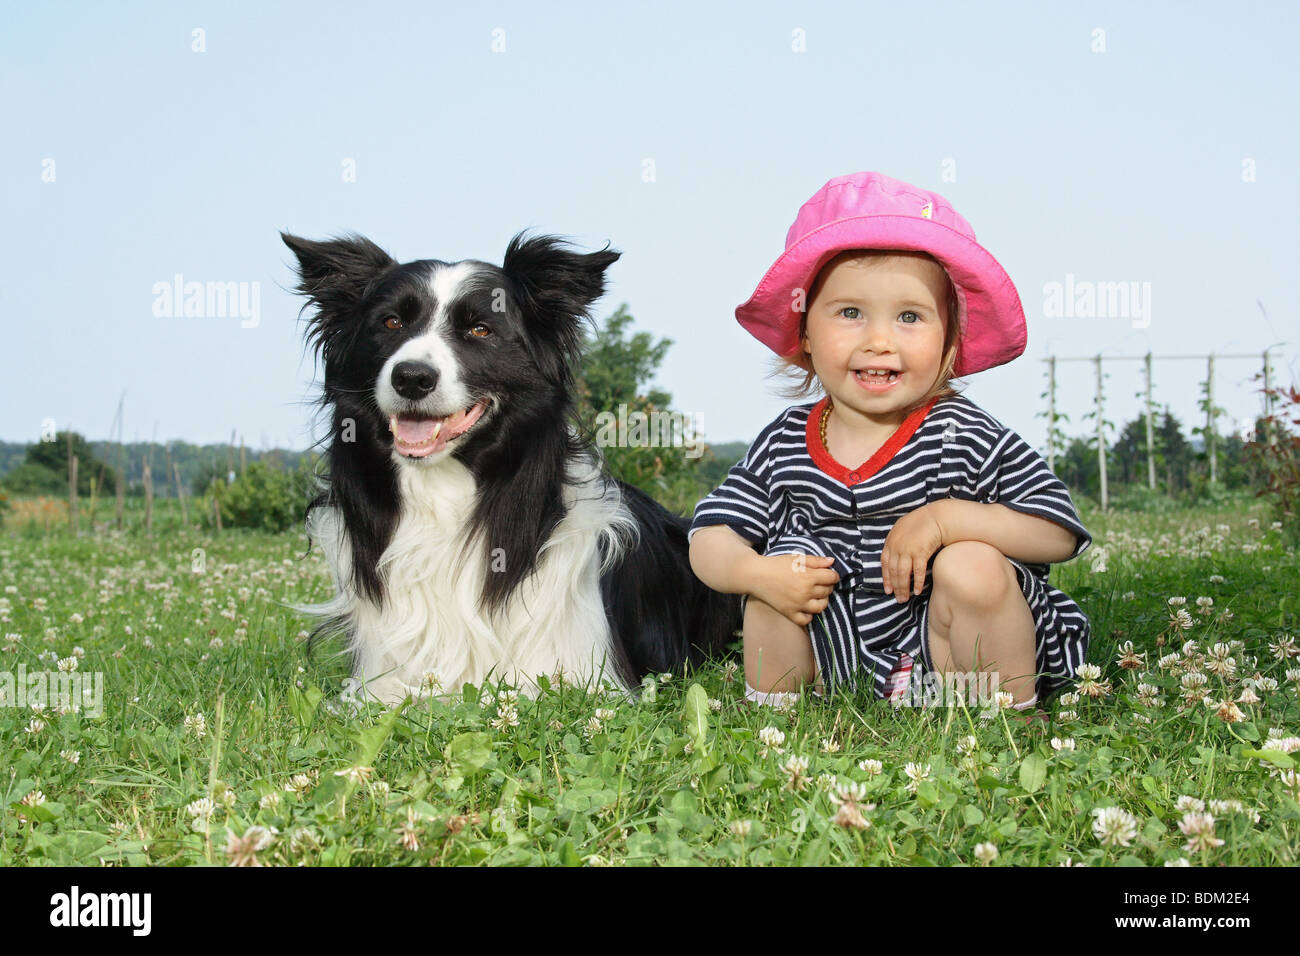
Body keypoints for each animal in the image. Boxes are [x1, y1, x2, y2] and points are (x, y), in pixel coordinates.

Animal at [284, 228, 738, 707]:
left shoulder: (578, 679)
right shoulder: (382, 682)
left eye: (480, 329)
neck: (446, 492)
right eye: (391, 323)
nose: (411, 377)